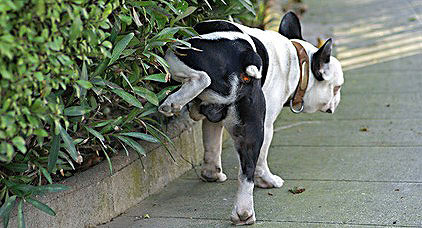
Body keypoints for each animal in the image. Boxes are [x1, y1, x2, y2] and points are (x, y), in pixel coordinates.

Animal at [158, 12, 342, 224]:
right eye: (336, 88)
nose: (337, 99)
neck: (297, 64)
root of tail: (246, 55)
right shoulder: (260, 125)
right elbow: (214, 145)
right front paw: (213, 173)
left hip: (175, 50)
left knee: (201, 77)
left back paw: (173, 102)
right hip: (252, 124)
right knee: (247, 171)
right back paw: (244, 212)